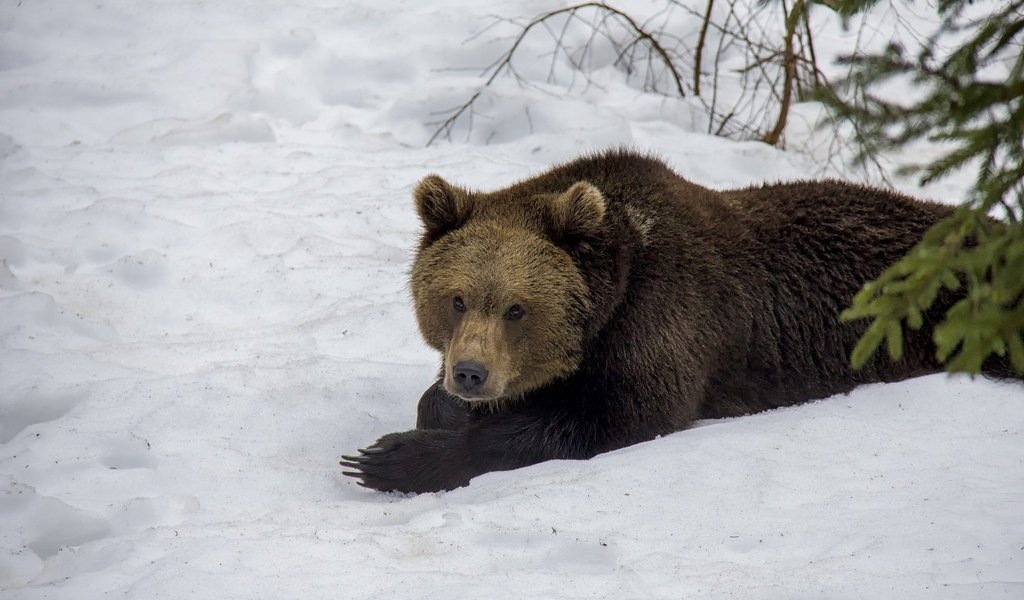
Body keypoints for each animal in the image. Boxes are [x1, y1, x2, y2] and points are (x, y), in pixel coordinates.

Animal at [339, 148, 1019, 491]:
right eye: (456, 299)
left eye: (517, 308)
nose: (471, 374)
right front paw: (437, 410)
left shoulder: (666, 318)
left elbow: (618, 413)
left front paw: (390, 458)